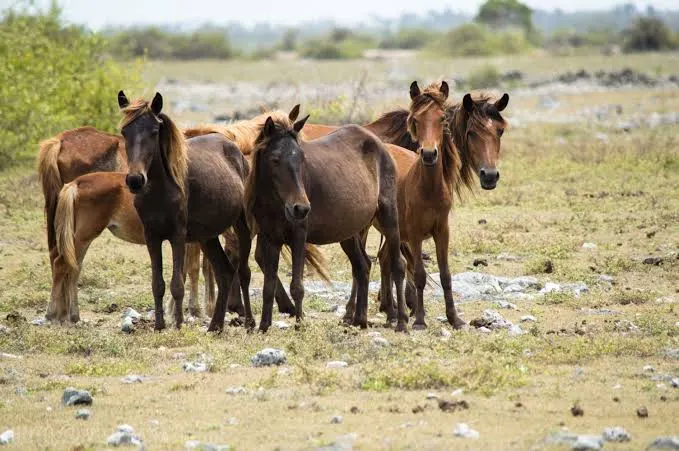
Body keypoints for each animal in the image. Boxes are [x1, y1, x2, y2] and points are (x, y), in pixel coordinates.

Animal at [245, 106, 407, 332]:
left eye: (302, 158)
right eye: (275, 159)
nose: (301, 208)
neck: (274, 202)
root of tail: (381, 146)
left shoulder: (298, 235)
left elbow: (297, 286)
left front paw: (300, 324)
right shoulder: (271, 239)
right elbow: (268, 286)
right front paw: (264, 326)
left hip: (388, 218)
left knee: (397, 265)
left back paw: (401, 321)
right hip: (349, 233)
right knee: (362, 266)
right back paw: (359, 319)